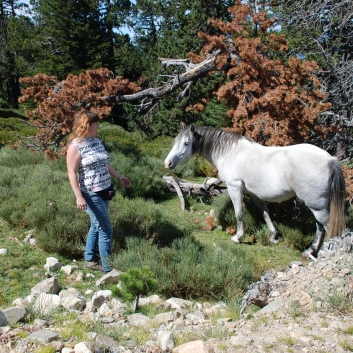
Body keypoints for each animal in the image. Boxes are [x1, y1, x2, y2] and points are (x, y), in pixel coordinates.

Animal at [164, 124, 344, 256]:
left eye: (186, 143)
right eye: (174, 142)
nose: (168, 163)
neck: (230, 153)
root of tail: (329, 159)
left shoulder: (234, 188)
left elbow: (239, 214)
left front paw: (238, 237)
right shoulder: (254, 194)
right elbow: (265, 214)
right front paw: (273, 236)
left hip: (317, 206)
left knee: (327, 227)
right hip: (316, 206)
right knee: (320, 228)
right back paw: (310, 251)